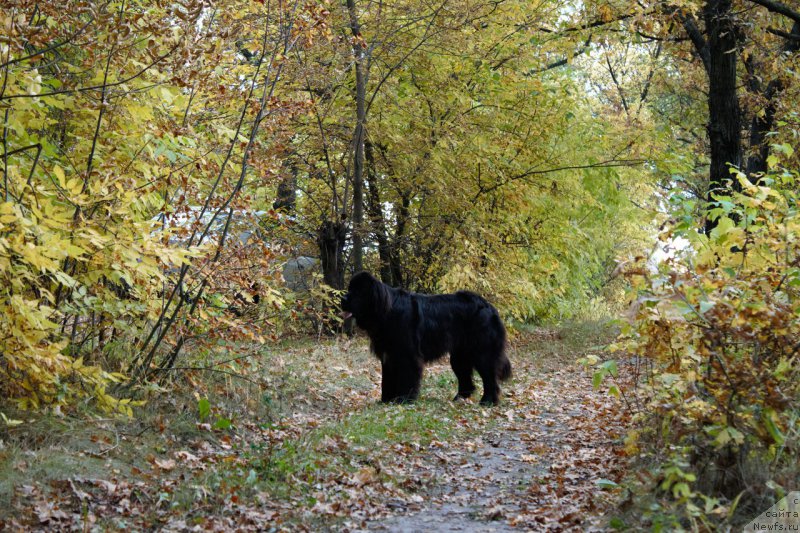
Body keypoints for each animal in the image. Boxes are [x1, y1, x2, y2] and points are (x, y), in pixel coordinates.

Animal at [340, 274, 510, 404]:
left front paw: (404, 400)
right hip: (459, 356)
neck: (386, 311)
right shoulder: (388, 356)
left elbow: (407, 378)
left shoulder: (408, 355)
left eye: (358, 291)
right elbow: (386, 380)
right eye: (349, 288)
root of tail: (489, 307)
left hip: (482, 352)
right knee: (466, 379)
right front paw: (386, 401)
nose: (343, 298)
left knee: (490, 377)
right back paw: (458, 399)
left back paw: (488, 401)